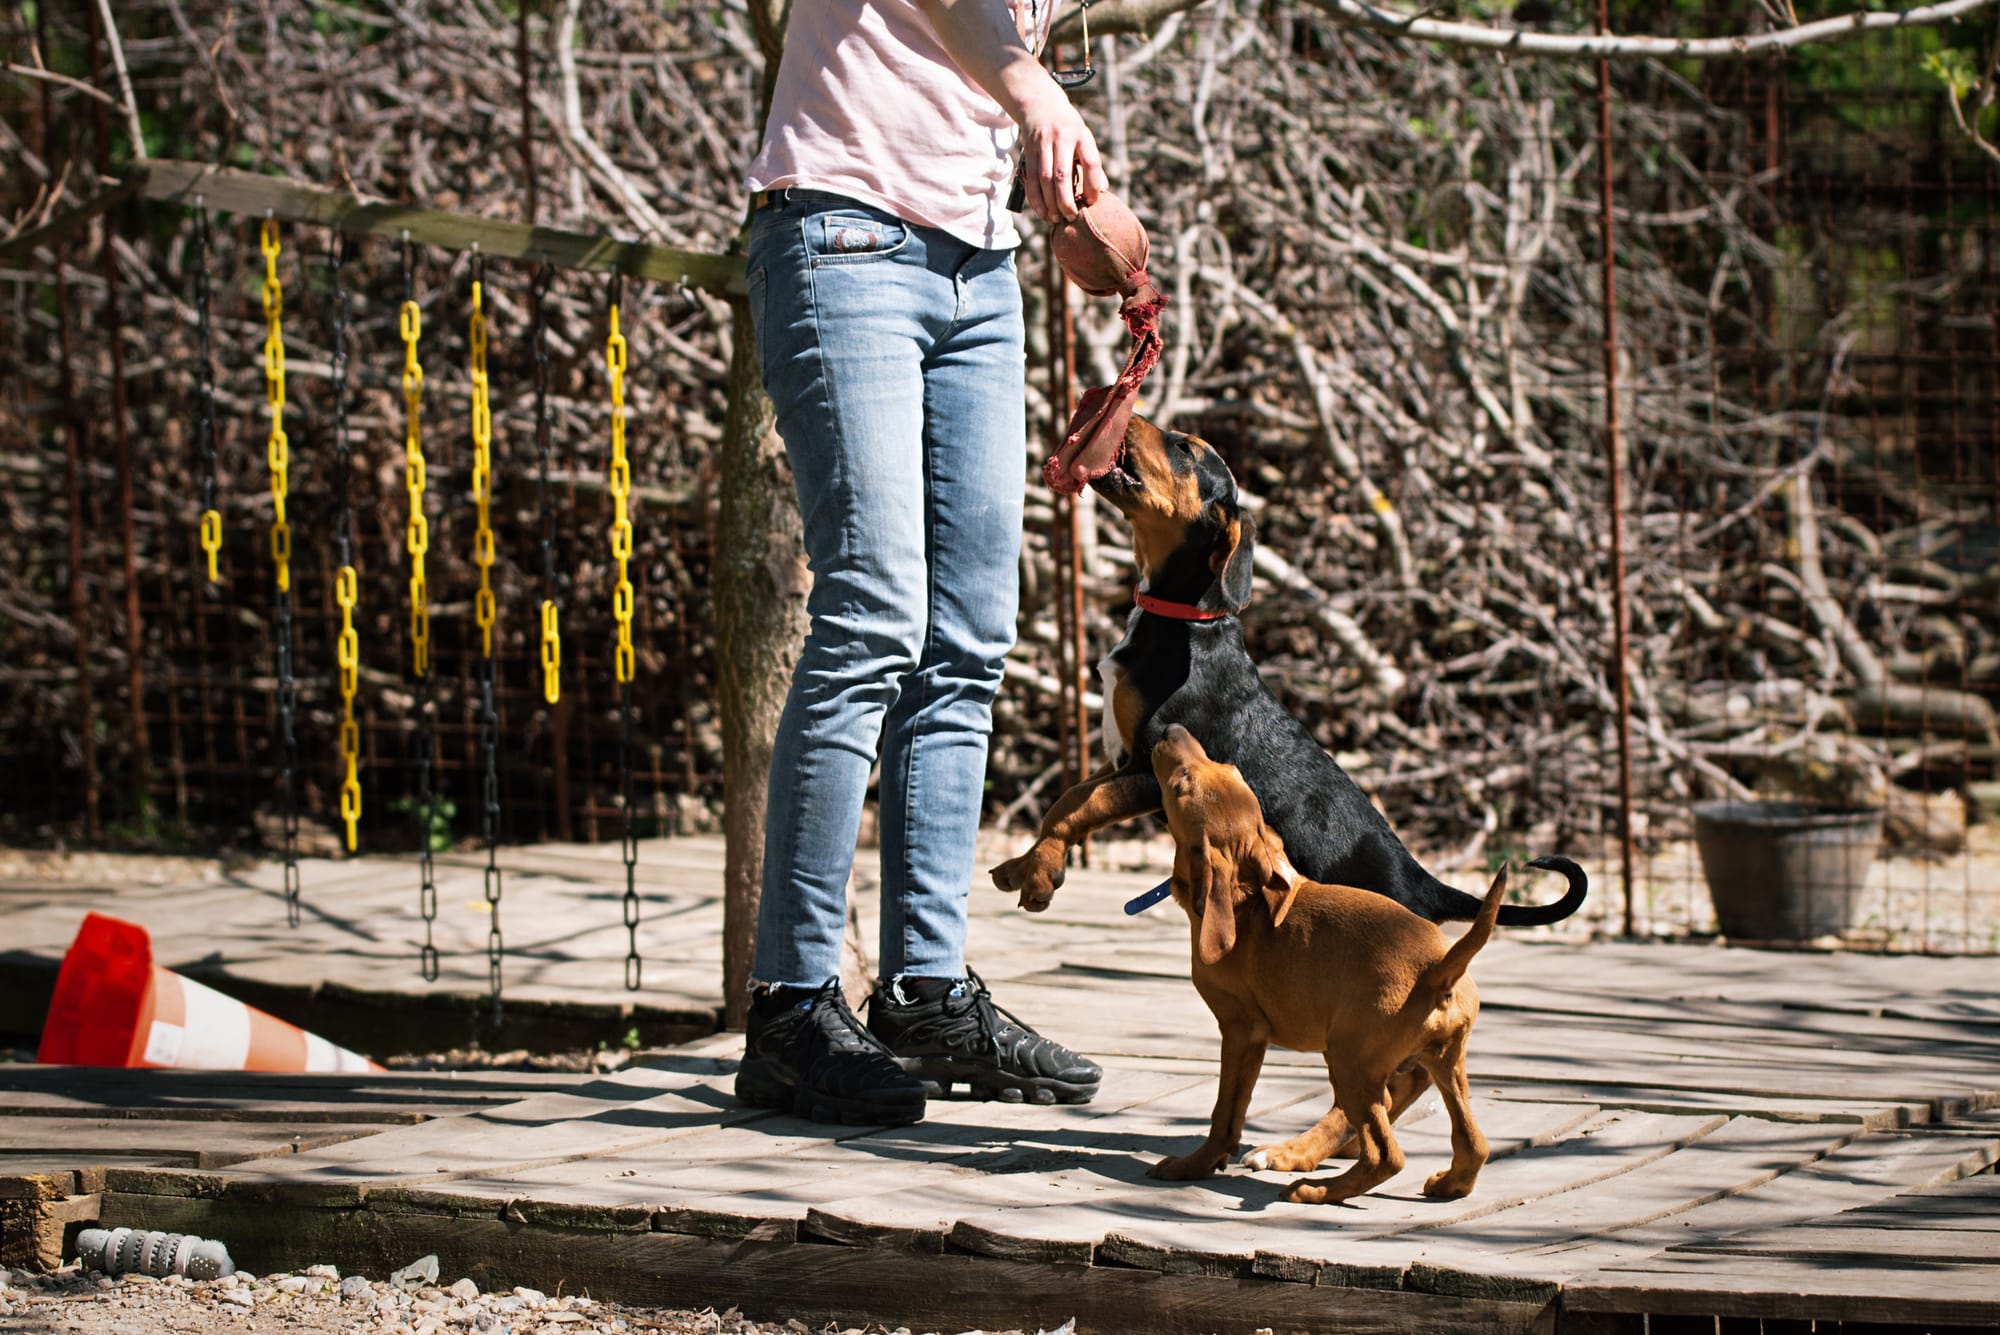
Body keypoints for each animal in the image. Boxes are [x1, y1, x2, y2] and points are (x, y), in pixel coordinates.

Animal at [992, 417, 1584, 927]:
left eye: (1185, 448)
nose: (1128, 413)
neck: (1183, 620)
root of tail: (1425, 886)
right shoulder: (1119, 760)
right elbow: (1067, 799)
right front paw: (1026, 866)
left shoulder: (1148, 767)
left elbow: (1078, 807)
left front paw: (1039, 876)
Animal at [1152, 723, 1496, 1207]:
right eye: (1227, 767)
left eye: (1182, 782)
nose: (1170, 729)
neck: (1243, 903)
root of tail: (1439, 967)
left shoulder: (1240, 1032)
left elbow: (1224, 1112)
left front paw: (1192, 1165)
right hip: (1445, 1062)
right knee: (1473, 1144)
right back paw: (1448, 1184)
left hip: (1351, 1062)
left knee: (1386, 1156)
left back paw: (1316, 1190)